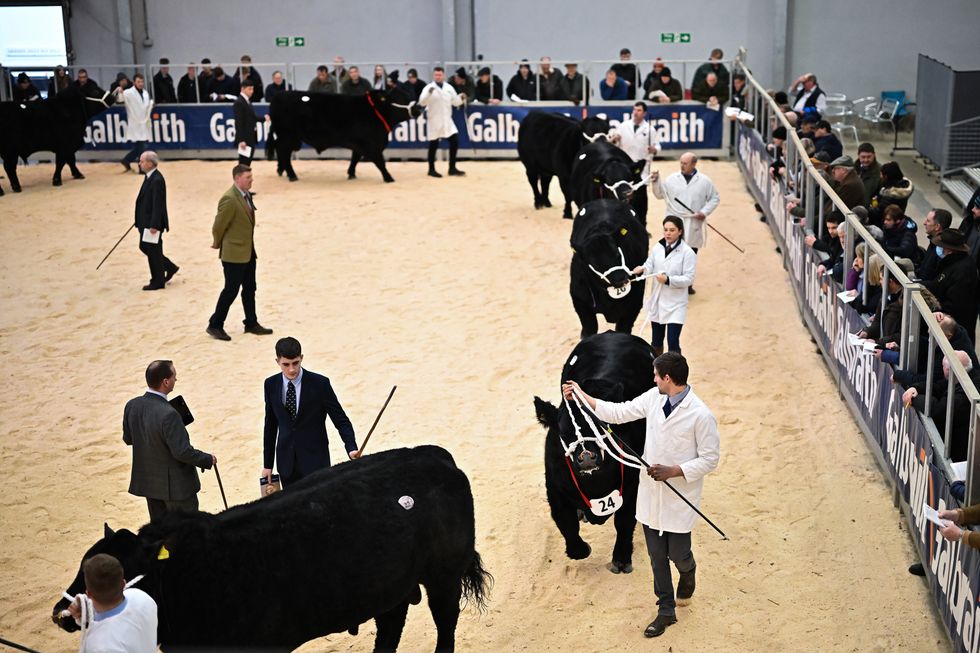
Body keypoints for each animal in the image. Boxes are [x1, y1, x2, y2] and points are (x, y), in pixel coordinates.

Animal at [53, 446, 490, 648]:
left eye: (115, 576)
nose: (61, 612)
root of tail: (433, 455)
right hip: (390, 587)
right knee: (390, 627)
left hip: (444, 576)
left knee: (445, 622)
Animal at [268, 86, 422, 183]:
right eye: (401, 99)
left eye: (409, 95)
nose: (418, 109)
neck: (375, 111)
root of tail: (279, 94)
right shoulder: (372, 145)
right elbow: (380, 162)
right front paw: (389, 178)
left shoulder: (360, 143)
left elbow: (355, 158)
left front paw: (351, 174)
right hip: (288, 136)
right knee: (283, 152)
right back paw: (292, 175)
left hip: (289, 138)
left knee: (281, 152)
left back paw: (281, 171)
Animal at [532, 332, 656, 572]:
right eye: (564, 432)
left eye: (602, 425)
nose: (587, 457)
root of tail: (613, 333)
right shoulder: (555, 487)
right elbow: (565, 521)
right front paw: (578, 550)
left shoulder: (632, 484)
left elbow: (624, 521)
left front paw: (621, 558)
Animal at [568, 199, 652, 338]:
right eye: (593, 263)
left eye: (617, 253)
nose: (621, 280)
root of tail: (603, 200)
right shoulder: (579, 300)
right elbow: (588, 329)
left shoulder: (635, 304)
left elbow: (623, 329)